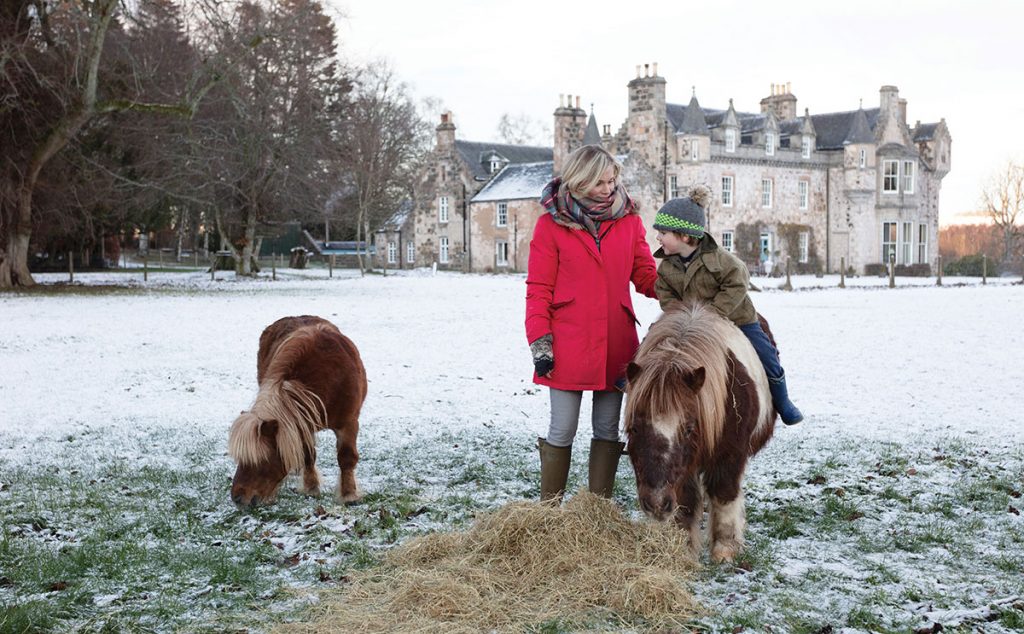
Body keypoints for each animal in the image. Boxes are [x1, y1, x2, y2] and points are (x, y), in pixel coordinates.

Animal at [226, 317, 366, 510]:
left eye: (261, 459)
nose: (237, 498)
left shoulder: (348, 423)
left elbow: (346, 457)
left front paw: (349, 495)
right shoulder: (302, 425)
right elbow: (308, 455)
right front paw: (311, 488)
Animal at [622, 303, 774, 565]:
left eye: (689, 428)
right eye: (634, 428)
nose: (657, 503)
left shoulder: (730, 455)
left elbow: (724, 493)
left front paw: (725, 548)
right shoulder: (685, 469)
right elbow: (686, 502)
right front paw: (683, 547)